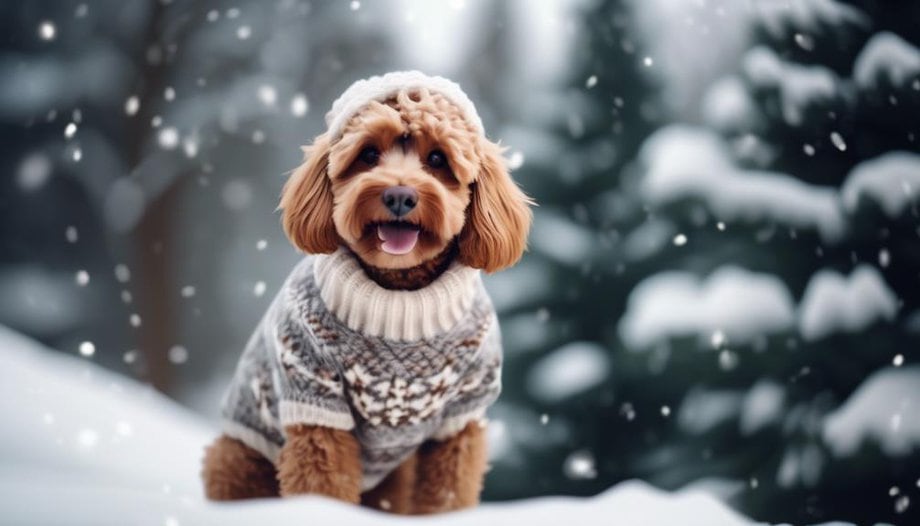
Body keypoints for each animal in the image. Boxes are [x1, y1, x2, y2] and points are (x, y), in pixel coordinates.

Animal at [201, 70, 532, 516]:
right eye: (369, 153)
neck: (399, 302)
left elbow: (448, 490)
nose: (399, 195)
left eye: (438, 159)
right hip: (238, 458)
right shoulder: (314, 395)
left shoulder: (462, 411)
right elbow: (322, 483)